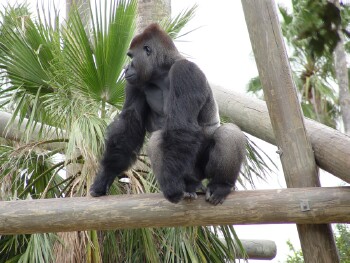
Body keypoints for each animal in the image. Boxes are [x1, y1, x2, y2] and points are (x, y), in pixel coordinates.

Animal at [90, 23, 246, 205]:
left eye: (131, 56)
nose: (126, 68)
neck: (163, 70)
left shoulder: (185, 71)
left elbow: (182, 127)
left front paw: (172, 187)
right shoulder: (135, 83)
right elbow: (129, 125)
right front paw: (105, 175)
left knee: (228, 132)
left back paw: (220, 185)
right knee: (158, 140)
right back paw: (188, 187)